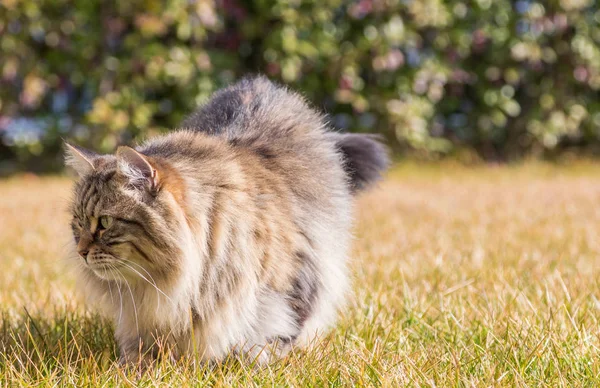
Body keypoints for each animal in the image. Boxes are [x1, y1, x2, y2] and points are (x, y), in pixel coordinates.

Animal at [65, 76, 390, 366]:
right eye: (77, 224)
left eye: (105, 222)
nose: (80, 252)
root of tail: (260, 82)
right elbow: (142, 345)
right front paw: (136, 365)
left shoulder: (299, 271)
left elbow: (281, 331)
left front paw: (256, 360)